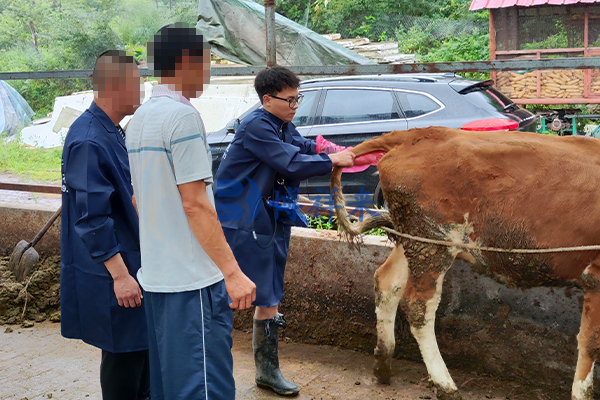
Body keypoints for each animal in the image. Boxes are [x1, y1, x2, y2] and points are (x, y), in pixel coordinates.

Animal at [330, 127, 600, 400]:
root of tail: (414, 134)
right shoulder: (596, 276)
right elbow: (591, 342)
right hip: (433, 243)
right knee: (418, 305)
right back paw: (444, 383)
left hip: (415, 239)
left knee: (387, 282)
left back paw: (384, 363)